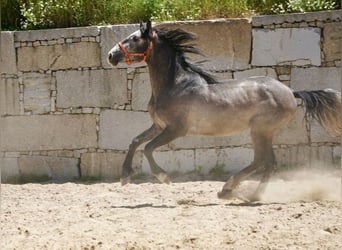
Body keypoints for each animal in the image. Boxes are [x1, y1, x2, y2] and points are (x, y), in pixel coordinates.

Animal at [108, 21, 340, 201]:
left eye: (134, 38)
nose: (111, 55)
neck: (174, 84)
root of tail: (290, 91)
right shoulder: (158, 125)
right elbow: (135, 141)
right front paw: (124, 177)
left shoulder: (176, 129)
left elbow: (148, 148)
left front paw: (164, 177)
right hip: (266, 132)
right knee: (270, 163)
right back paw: (249, 195)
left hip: (260, 130)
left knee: (261, 160)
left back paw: (229, 189)